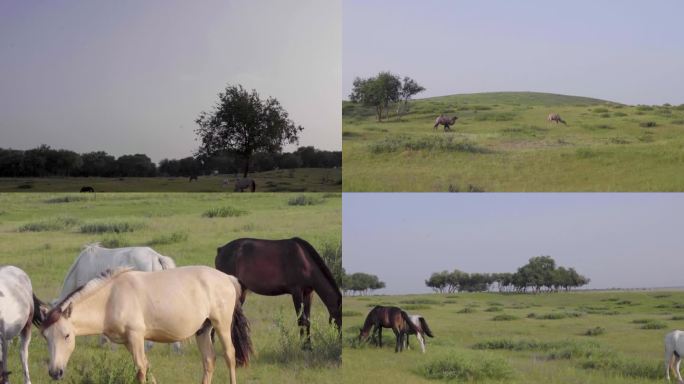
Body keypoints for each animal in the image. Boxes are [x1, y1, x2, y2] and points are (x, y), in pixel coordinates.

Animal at [38, 266, 251, 384]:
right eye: (46, 338)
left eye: (66, 335)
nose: (55, 372)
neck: (111, 298)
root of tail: (227, 277)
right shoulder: (128, 342)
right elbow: (146, 367)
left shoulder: (136, 337)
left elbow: (140, 369)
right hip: (203, 330)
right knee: (209, 360)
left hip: (221, 325)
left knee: (229, 356)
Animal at [214, 237, 342, 340]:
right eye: (339, 317)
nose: (339, 340)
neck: (305, 262)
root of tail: (221, 250)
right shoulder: (296, 292)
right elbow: (301, 320)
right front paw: (303, 347)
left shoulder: (308, 293)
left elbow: (308, 321)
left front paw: (309, 346)